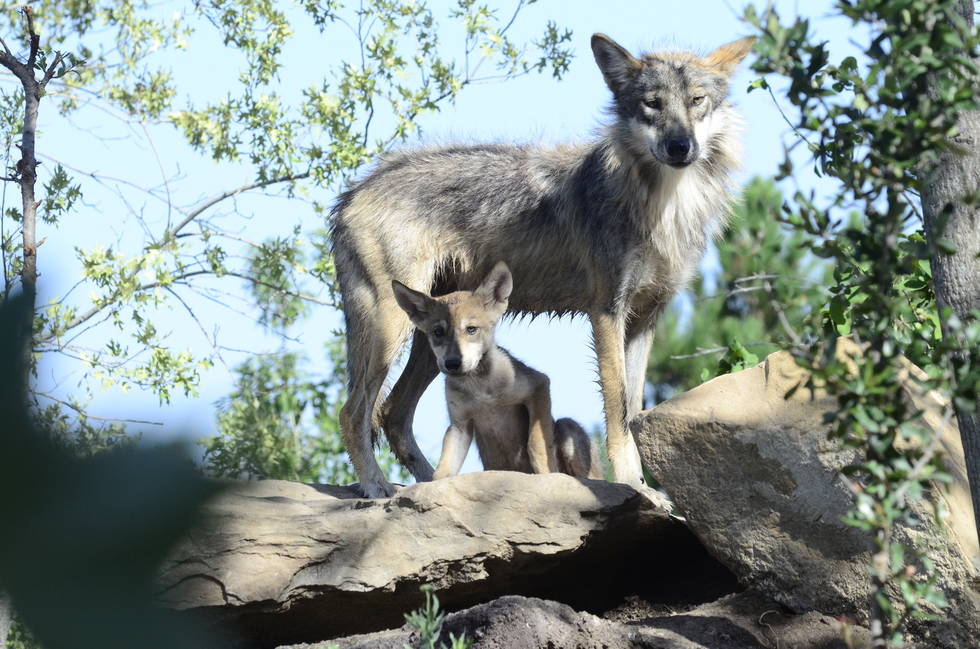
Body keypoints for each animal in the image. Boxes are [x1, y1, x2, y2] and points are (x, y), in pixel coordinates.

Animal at [392, 262, 602, 480]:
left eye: (471, 329)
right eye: (438, 332)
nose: (452, 363)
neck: (479, 387)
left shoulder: (539, 385)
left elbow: (537, 445)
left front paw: (546, 474)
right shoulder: (460, 425)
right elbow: (444, 468)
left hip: (567, 427)